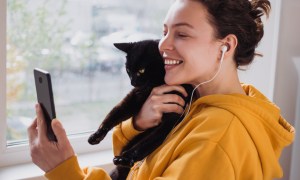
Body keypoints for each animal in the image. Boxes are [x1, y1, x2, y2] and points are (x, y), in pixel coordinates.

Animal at [88, 39, 193, 180]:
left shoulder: (171, 118)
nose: (132, 82)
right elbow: (115, 114)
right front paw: (97, 135)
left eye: (141, 70)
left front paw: (126, 158)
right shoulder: (133, 98)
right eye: (128, 70)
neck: (153, 86)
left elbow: (146, 143)